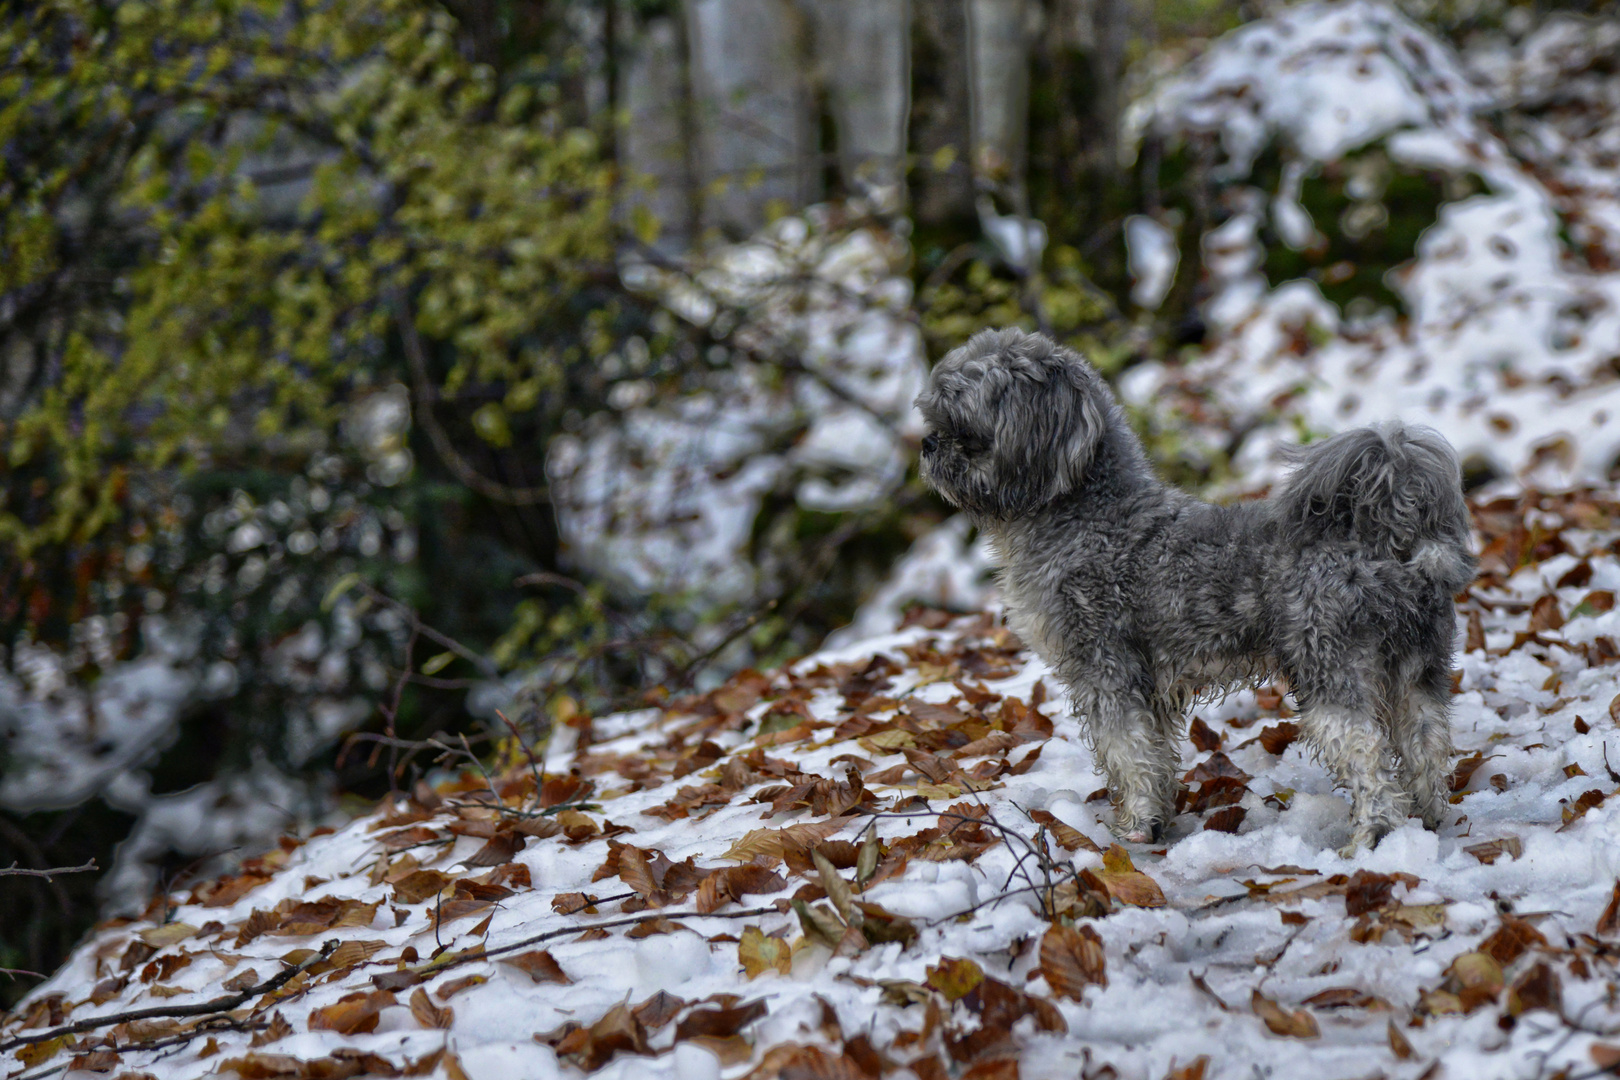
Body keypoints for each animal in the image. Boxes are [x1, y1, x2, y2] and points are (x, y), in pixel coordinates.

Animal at [920, 330, 1477, 854]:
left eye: (963, 428)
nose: (927, 445)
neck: (1086, 515)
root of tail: (1388, 539)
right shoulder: (1150, 688)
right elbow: (1154, 755)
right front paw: (1157, 817)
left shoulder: (1108, 670)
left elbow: (1128, 754)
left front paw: (1136, 827)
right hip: (1417, 672)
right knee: (1427, 747)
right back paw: (1425, 822)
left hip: (1332, 674)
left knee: (1368, 759)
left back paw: (1372, 838)